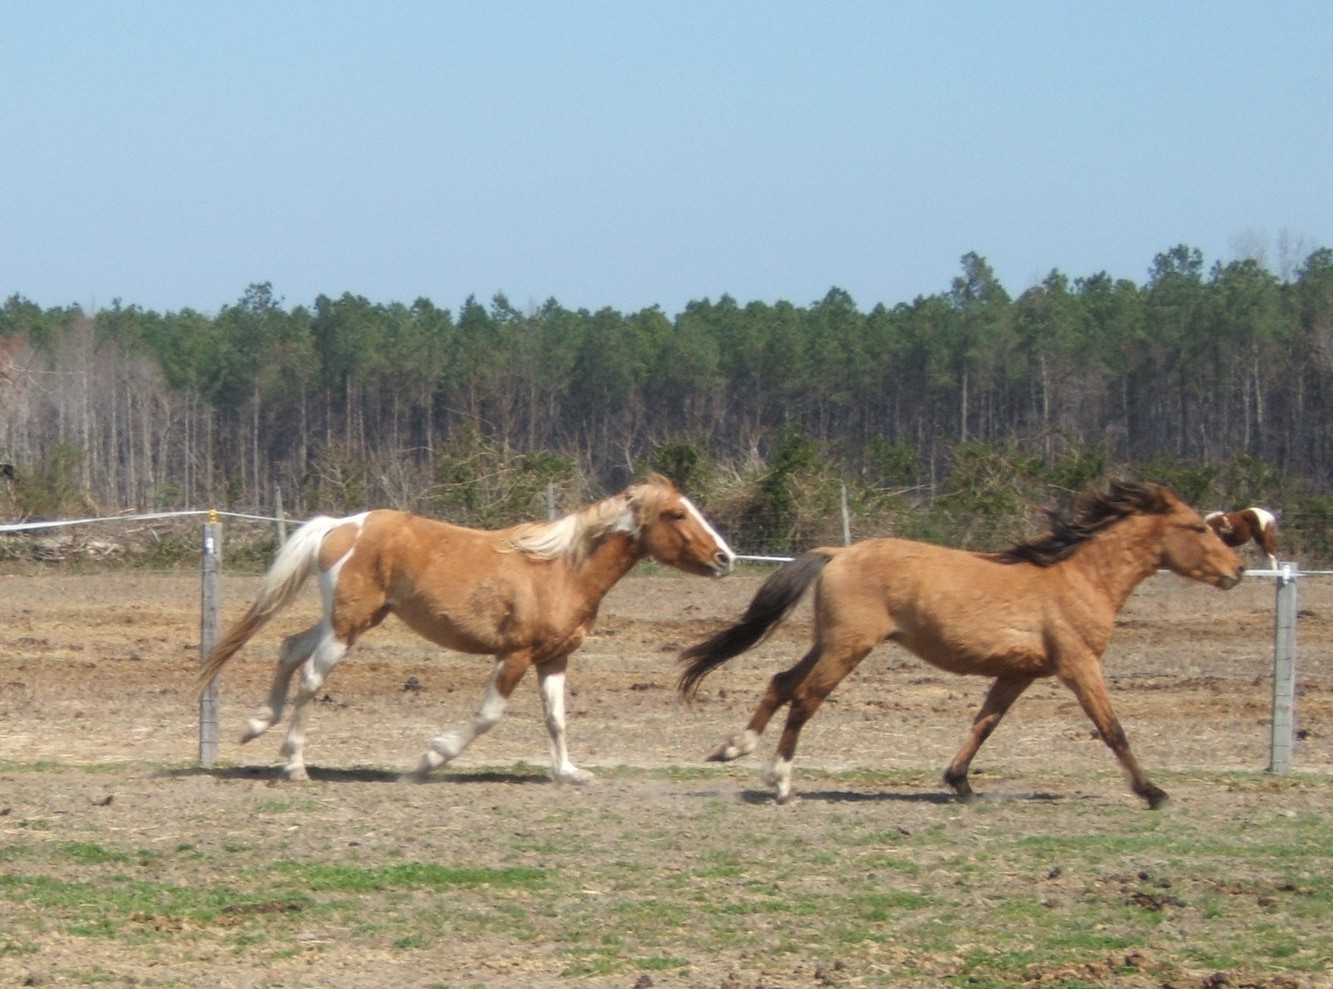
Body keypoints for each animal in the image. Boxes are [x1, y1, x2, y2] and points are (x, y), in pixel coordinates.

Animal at [193, 475, 735, 784]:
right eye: (676, 513)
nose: (725, 558)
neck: (561, 569)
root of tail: (341, 525)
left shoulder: (554, 658)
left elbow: (556, 718)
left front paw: (568, 773)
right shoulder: (515, 654)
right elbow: (489, 715)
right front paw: (432, 758)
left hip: (350, 620)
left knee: (289, 648)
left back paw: (255, 725)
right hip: (347, 626)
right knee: (311, 678)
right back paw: (294, 765)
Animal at [678, 480, 1243, 808]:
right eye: (1197, 527)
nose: (1237, 570)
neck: (1079, 578)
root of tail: (838, 552)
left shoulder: (1018, 673)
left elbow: (984, 724)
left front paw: (959, 782)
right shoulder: (1079, 665)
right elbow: (1113, 730)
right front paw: (1153, 792)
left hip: (830, 643)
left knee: (780, 683)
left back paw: (735, 748)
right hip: (847, 647)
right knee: (804, 699)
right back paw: (779, 780)